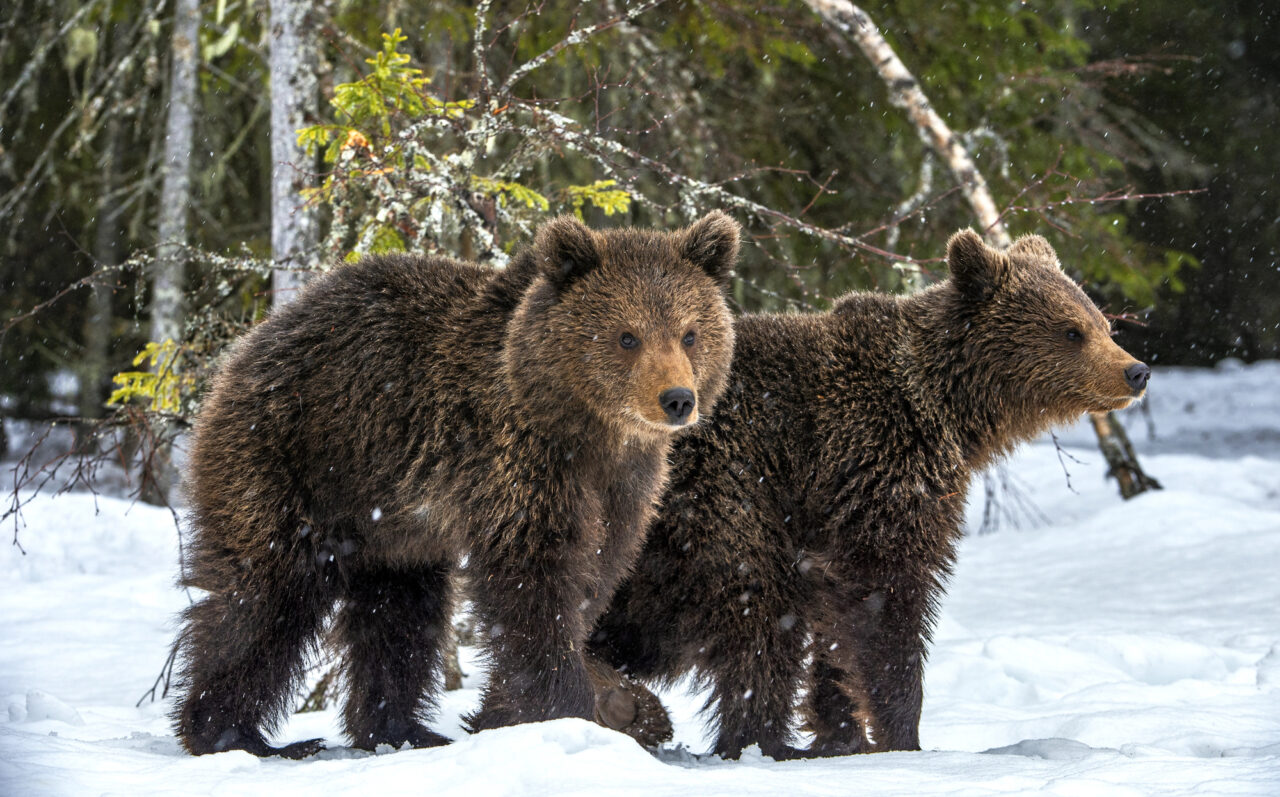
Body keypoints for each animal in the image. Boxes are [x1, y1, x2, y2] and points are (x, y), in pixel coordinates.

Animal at [171, 212, 737, 762]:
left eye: (689, 333)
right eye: (627, 336)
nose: (677, 399)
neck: (586, 428)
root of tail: (246, 347)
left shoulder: (624, 486)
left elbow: (595, 575)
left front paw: (516, 708)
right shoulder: (517, 460)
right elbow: (535, 582)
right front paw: (558, 708)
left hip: (390, 527)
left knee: (399, 612)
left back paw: (401, 730)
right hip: (292, 459)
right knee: (264, 595)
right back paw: (234, 734)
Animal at [588, 228, 1152, 762]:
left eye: (1104, 324)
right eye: (1072, 330)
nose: (1137, 371)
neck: (949, 409)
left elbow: (835, 621)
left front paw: (842, 730)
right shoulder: (877, 459)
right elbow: (885, 594)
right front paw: (901, 735)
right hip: (716, 495)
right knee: (756, 608)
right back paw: (750, 739)